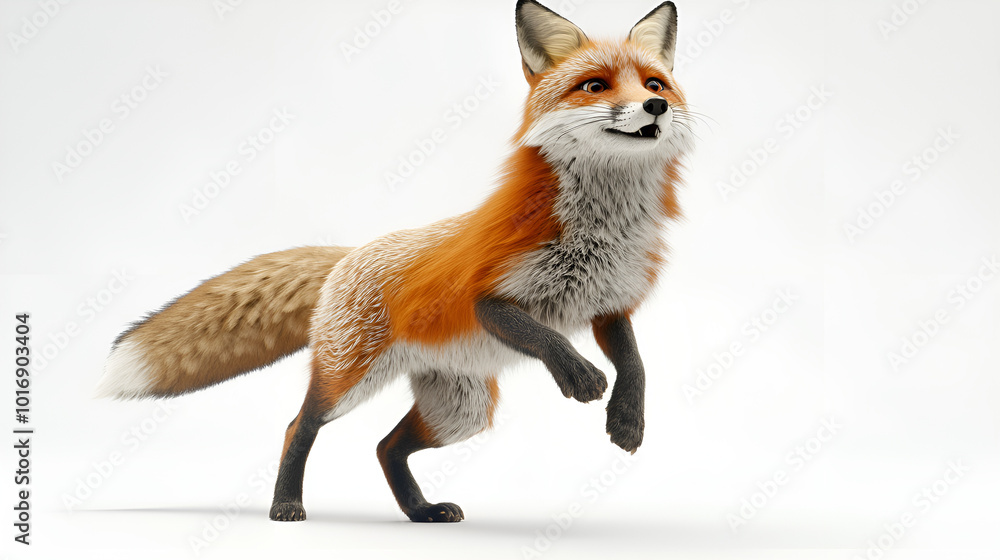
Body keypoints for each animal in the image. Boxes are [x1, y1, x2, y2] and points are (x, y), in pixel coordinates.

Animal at [97, 0, 695, 523]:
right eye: (595, 85)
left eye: (654, 84)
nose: (656, 107)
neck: (601, 231)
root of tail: (353, 253)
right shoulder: (487, 295)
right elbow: (546, 336)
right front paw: (581, 375)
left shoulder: (609, 303)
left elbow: (636, 363)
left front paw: (628, 419)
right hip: (349, 379)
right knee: (299, 427)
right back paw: (285, 504)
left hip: (460, 410)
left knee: (386, 447)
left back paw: (421, 511)